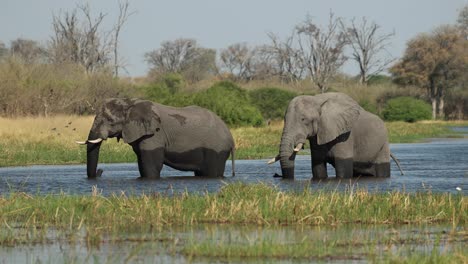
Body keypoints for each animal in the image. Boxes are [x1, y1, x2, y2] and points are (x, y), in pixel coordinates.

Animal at [79, 98, 238, 178]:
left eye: (111, 121)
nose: (100, 171)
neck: (131, 104)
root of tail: (231, 139)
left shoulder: (154, 135)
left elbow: (151, 164)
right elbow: (142, 162)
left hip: (216, 150)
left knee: (211, 172)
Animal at [268, 92, 404, 180]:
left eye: (303, 119)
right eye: (284, 120)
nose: (279, 177)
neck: (317, 100)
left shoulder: (345, 135)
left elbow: (343, 170)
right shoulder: (319, 134)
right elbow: (318, 168)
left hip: (383, 145)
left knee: (382, 170)